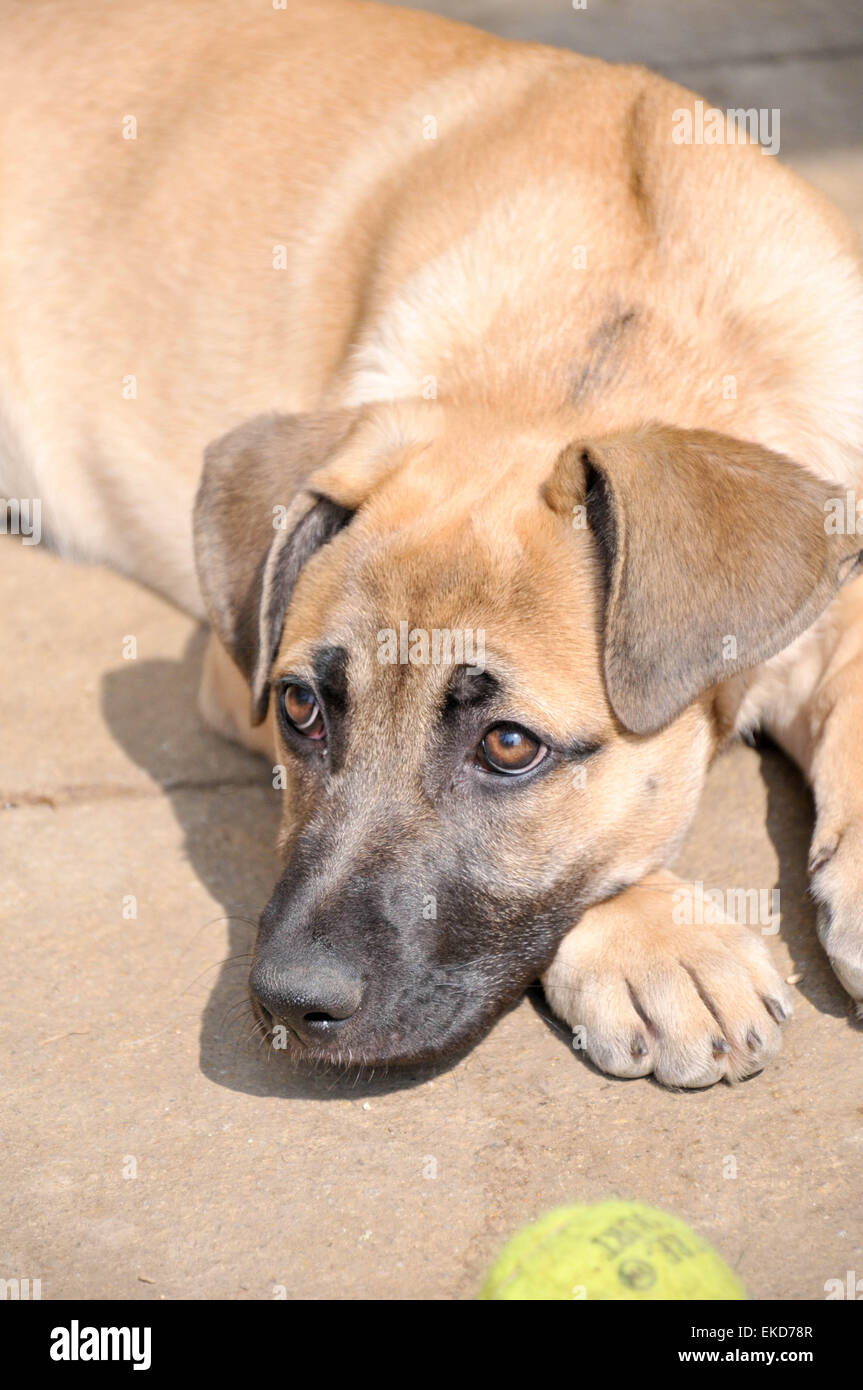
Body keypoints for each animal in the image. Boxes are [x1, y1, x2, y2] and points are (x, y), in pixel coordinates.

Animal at [1, 0, 861, 1084]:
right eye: (298, 709)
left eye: (509, 745)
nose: (289, 1005)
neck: (614, 308)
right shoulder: (229, 669)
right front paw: (655, 937)